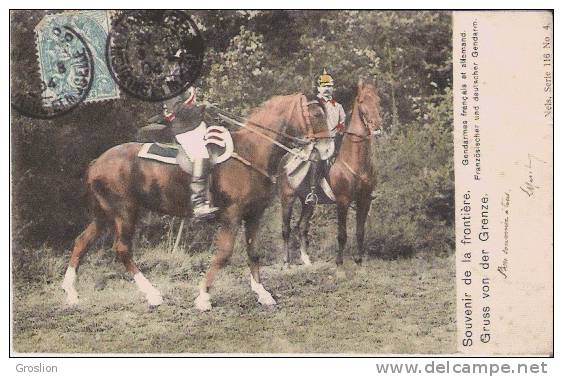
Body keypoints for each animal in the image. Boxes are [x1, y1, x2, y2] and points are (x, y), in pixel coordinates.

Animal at [60, 93, 330, 308]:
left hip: (104, 215)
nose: (327, 149)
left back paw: (71, 294)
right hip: (124, 213)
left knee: (81, 242)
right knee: (122, 250)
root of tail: (97, 162)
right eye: (316, 113)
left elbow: (253, 253)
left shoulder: (254, 215)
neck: (252, 150)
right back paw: (153, 295)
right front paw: (203, 297)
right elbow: (224, 254)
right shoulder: (232, 215)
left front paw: (262, 294)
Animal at [280, 79, 384, 268]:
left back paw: (307, 260)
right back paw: (287, 262)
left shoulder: (364, 200)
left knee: (301, 227)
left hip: (308, 203)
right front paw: (339, 261)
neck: (355, 162)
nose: (377, 127)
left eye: (378, 100)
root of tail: (286, 157)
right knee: (286, 229)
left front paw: (359, 260)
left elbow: (360, 232)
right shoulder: (342, 202)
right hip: (287, 198)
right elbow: (342, 235)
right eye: (362, 101)